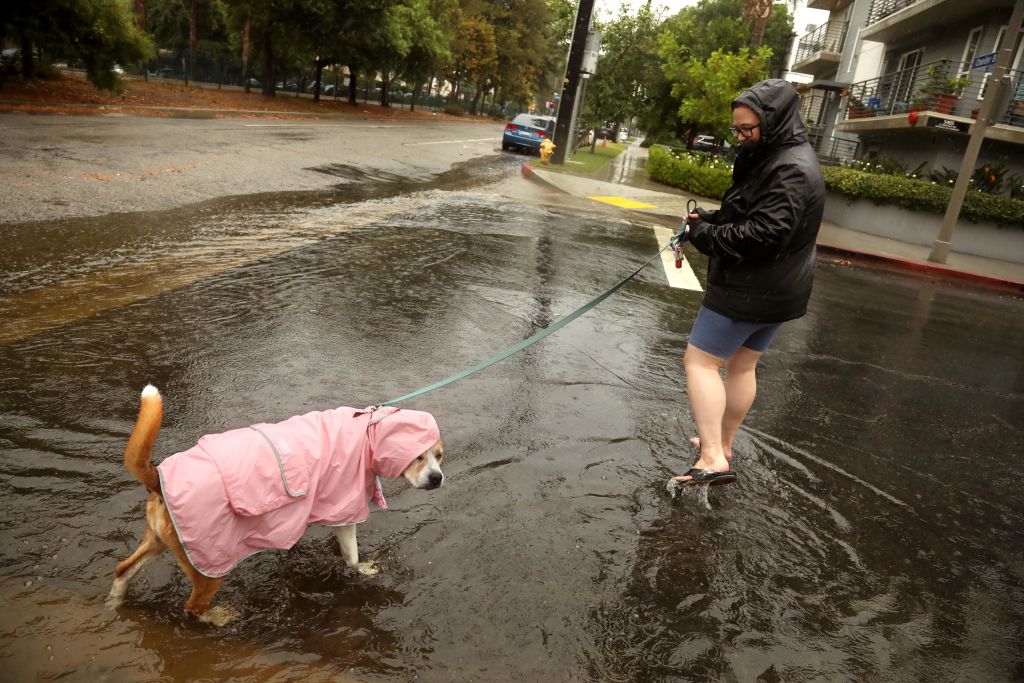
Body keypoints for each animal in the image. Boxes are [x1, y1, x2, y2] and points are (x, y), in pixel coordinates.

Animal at [108, 385, 444, 626]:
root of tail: (157, 477)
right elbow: (351, 556)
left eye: (439, 455)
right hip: (208, 569)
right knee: (192, 606)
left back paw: (114, 602)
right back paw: (216, 618)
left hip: (157, 542)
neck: (366, 432)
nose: (437, 478)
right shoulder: (345, 509)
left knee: (123, 570)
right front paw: (363, 569)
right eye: (418, 456)